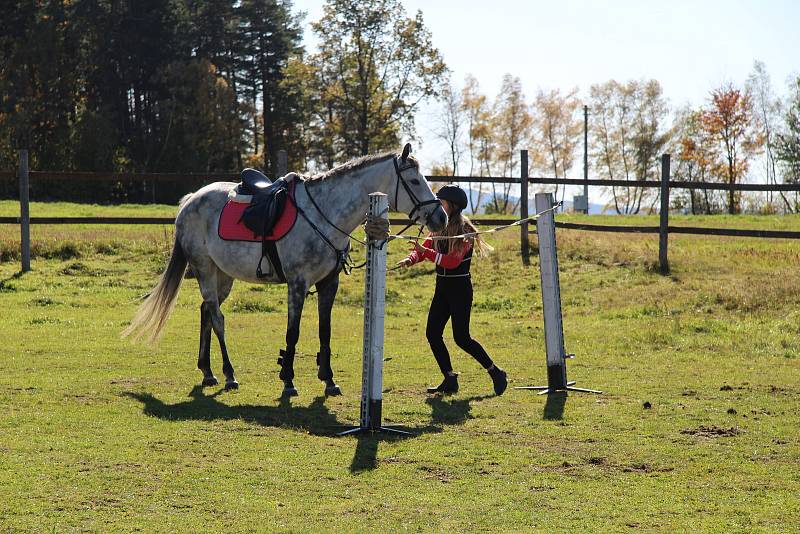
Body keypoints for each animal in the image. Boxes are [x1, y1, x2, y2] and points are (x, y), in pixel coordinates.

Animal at [122, 144, 446, 400]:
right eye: (414, 180)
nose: (440, 218)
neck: (323, 214)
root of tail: (190, 200)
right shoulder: (297, 284)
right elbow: (293, 332)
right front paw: (288, 380)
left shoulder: (329, 284)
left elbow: (324, 331)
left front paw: (328, 380)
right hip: (204, 270)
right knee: (217, 318)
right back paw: (229, 374)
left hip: (222, 274)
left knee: (205, 313)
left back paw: (208, 371)